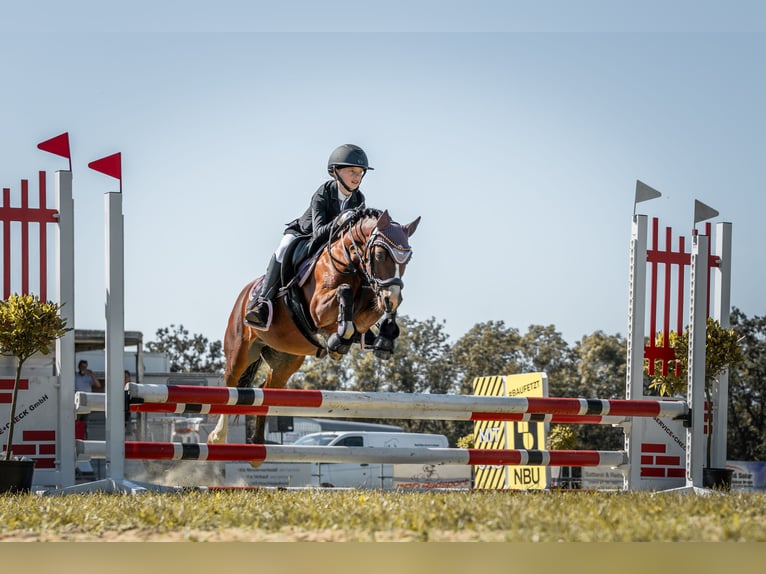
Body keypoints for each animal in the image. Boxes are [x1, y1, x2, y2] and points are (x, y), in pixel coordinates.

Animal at [210, 209, 424, 448]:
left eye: (408, 259)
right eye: (379, 255)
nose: (391, 297)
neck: (351, 263)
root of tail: (244, 295)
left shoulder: (369, 303)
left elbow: (371, 312)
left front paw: (381, 338)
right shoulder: (317, 309)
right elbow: (344, 290)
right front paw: (339, 340)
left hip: (286, 359)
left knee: (267, 388)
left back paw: (257, 443)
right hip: (240, 350)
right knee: (231, 385)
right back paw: (217, 437)